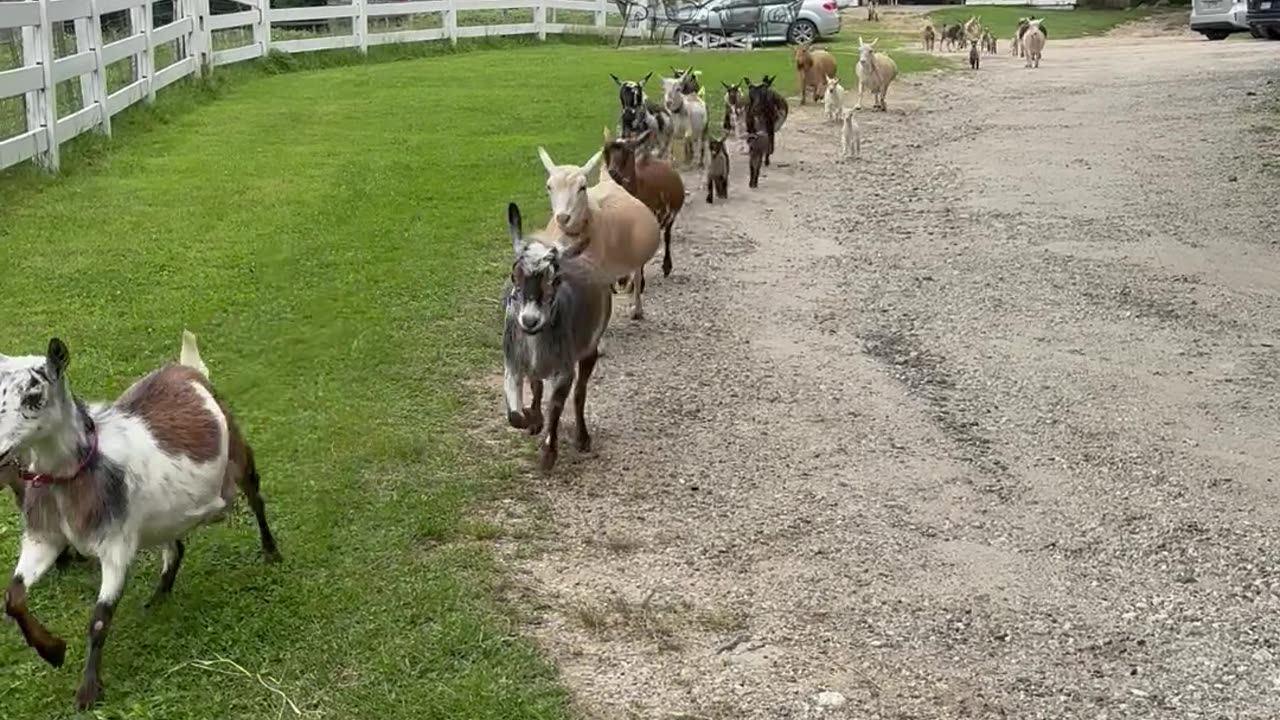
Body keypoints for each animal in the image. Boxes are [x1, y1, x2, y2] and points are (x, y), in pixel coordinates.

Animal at [0, 330, 279, 707]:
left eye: (34, 394)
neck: (75, 477)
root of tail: (186, 369)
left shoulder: (116, 545)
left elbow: (99, 620)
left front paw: (88, 690)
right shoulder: (44, 538)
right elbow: (14, 597)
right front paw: (53, 651)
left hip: (239, 456)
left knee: (257, 500)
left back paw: (271, 552)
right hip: (164, 514)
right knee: (175, 548)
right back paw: (160, 596)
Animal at [501, 202, 611, 471]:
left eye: (556, 279)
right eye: (513, 275)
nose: (530, 320)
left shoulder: (564, 369)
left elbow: (556, 406)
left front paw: (549, 453)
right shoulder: (513, 364)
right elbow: (515, 415)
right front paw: (531, 419)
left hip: (590, 348)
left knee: (580, 393)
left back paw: (582, 438)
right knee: (538, 384)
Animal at [601, 126, 686, 274]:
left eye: (629, 151)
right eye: (605, 151)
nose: (613, 173)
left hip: (672, 214)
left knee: (667, 235)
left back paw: (667, 266)